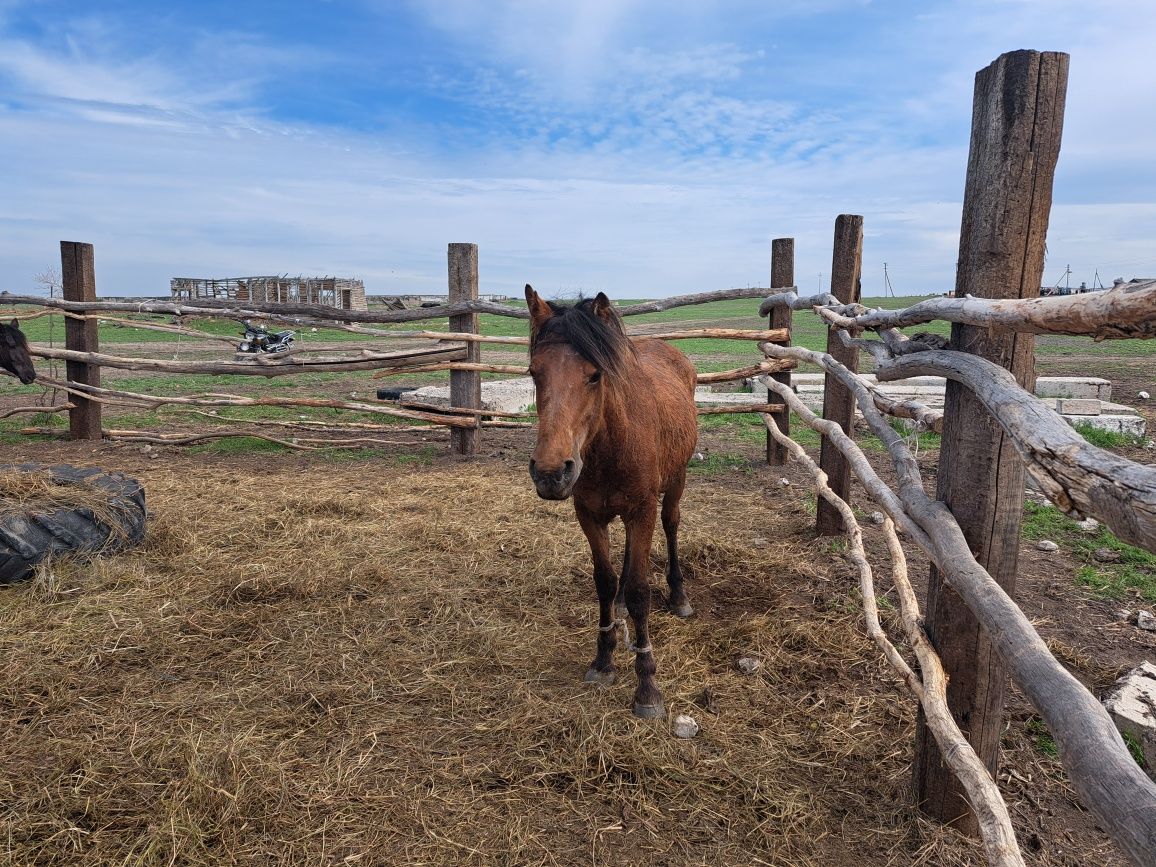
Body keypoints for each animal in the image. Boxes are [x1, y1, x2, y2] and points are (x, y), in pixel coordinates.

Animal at [524, 285, 693, 721]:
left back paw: (679, 596)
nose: (550, 472)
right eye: (534, 373)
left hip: (677, 481)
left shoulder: (642, 512)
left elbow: (638, 590)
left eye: (594, 374)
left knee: (672, 524)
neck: (610, 444)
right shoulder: (588, 515)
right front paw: (603, 660)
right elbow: (605, 581)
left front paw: (647, 685)